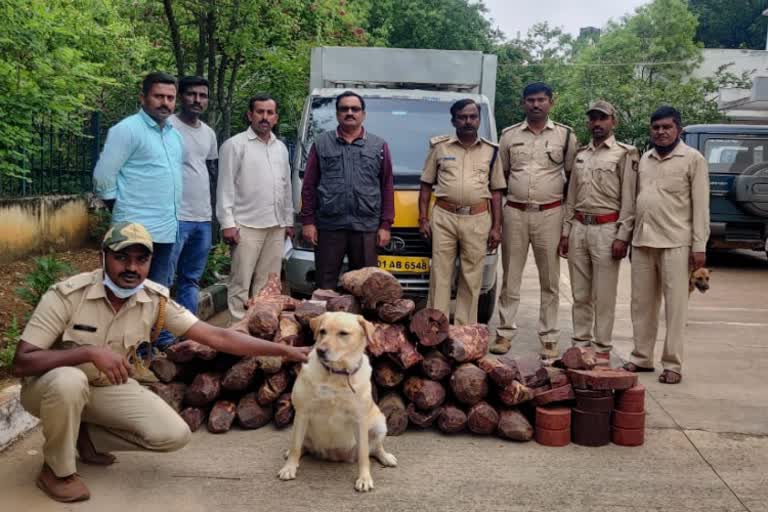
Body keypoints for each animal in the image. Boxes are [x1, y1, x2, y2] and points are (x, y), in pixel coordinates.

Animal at [278, 312, 396, 492]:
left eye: (343, 333)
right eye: (322, 331)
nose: (320, 351)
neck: (336, 374)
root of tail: (336, 456)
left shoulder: (360, 420)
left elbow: (364, 455)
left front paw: (364, 478)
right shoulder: (303, 412)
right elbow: (296, 447)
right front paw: (289, 467)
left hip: (379, 423)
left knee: (375, 448)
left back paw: (386, 457)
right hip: (300, 425)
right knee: (301, 445)